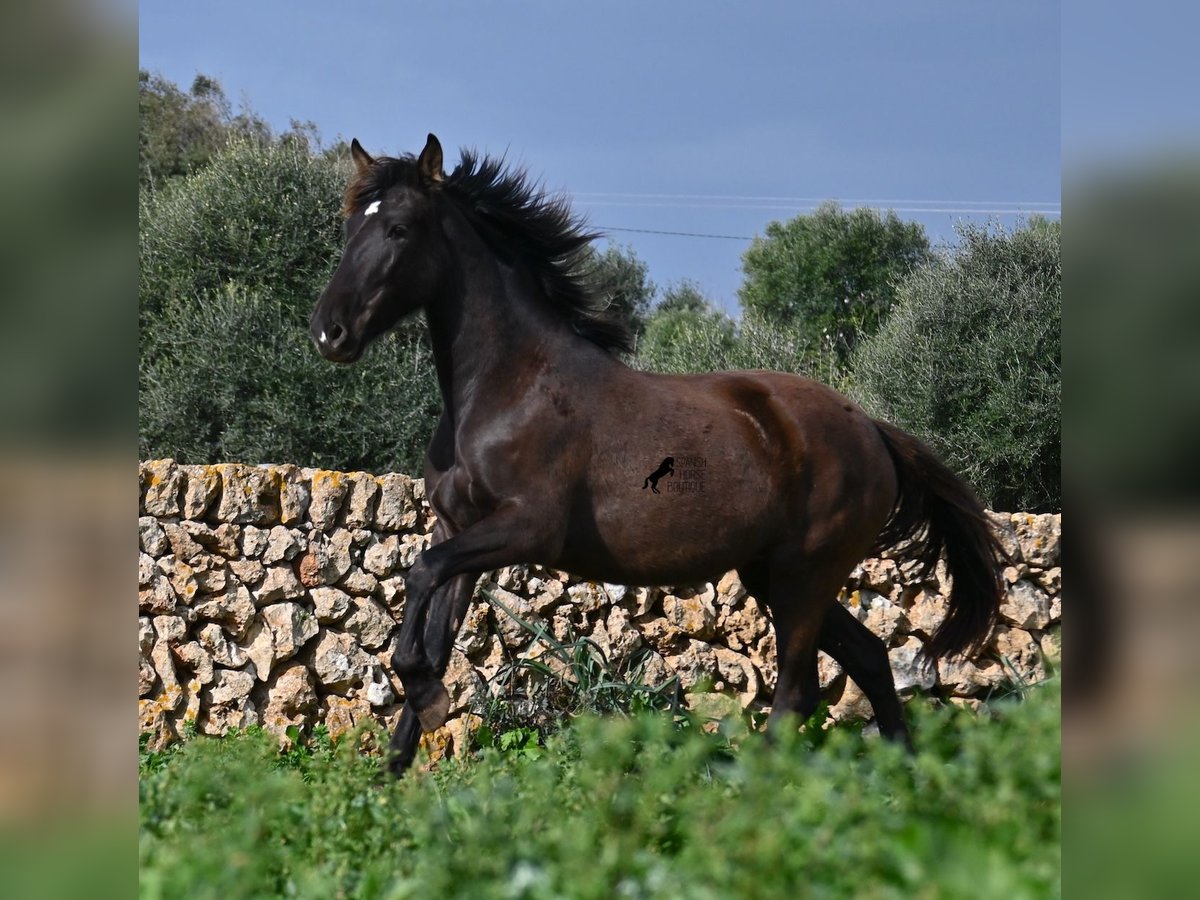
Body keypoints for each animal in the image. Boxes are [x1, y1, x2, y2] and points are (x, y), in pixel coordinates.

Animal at [307, 132, 1003, 777]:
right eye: (349, 226)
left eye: (398, 229)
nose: (329, 333)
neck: (508, 387)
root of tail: (873, 431)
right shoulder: (460, 530)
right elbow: (432, 630)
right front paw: (392, 777)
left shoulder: (526, 528)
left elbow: (420, 580)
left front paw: (427, 701)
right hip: (775, 573)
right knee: (869, 658)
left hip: (806, 574)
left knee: (797, 693)